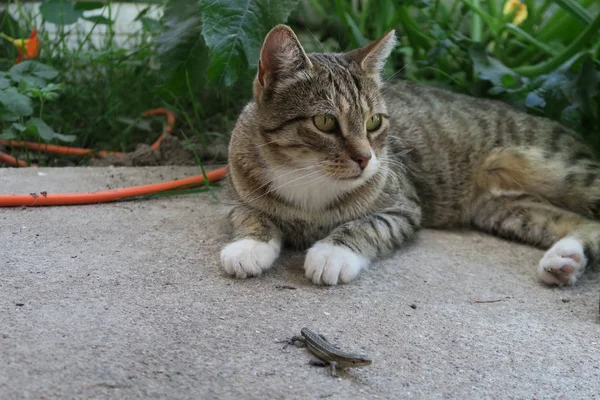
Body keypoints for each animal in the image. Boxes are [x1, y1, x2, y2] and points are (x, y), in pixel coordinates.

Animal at [220, 25, 600, 286]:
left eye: (374, 121)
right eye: (324, 122)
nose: (365, 159)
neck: (307, 177)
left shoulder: (403, 207)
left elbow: (367, 225)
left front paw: (333, 252)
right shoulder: (236, 194)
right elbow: (249, 215)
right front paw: (249, 246)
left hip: (560, 170)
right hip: (506, 209)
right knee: (585, 223)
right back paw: (566, 259)